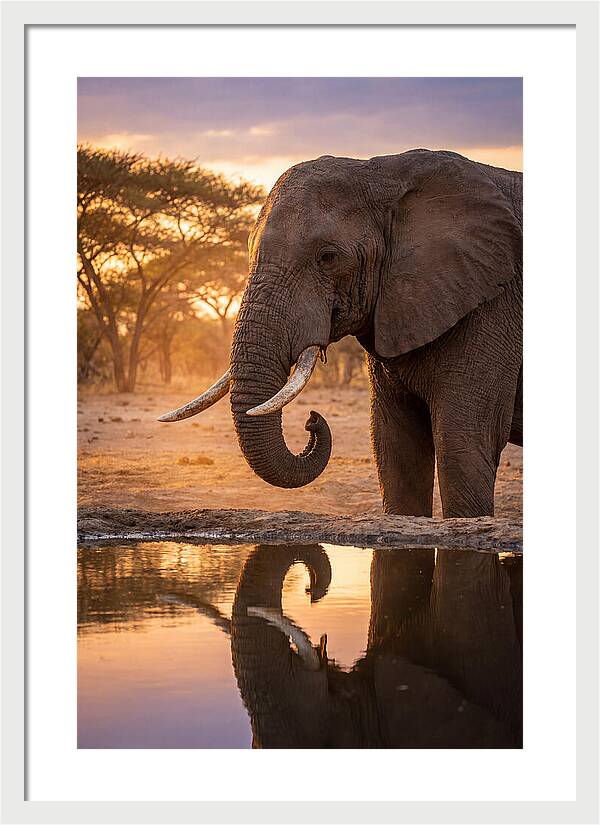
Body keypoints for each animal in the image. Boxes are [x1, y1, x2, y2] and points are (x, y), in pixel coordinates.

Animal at [160, 149, 522, 518]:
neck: (386, 173)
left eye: (328, 257)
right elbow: (395, 447)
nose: (312, 420)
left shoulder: (493, 304)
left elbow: (463, 443)